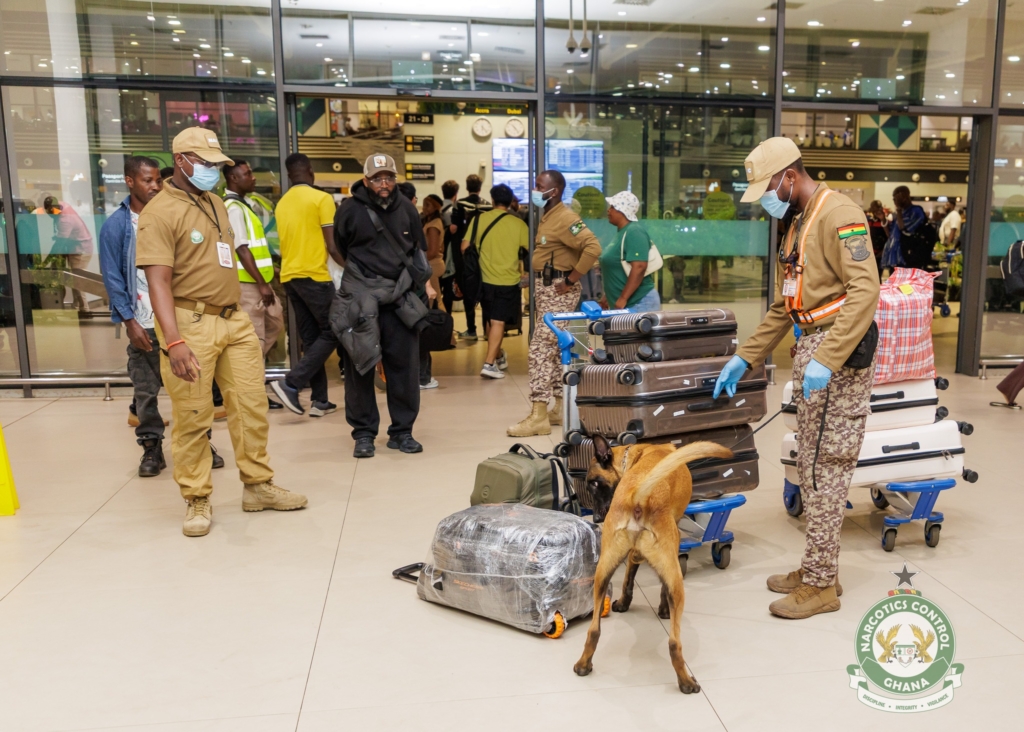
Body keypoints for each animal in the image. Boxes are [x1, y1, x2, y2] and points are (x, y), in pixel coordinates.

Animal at [573, 434, 732, 694]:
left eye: (595, 484)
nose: (595, 518)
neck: (641, 454)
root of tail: (638, 495)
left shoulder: (632, 555)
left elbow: (628, 579)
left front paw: (623, 603)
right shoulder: (672, 553)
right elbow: (662, 588)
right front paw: (663, 609)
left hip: (601, 575)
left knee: (594, 630)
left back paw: (583, 664)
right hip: (677, 583)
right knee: (674, 643)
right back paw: (686, 682)